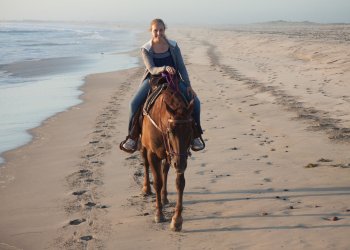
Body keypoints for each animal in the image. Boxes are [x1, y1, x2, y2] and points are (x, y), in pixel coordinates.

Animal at [140, 81, 194, 231]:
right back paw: (146, 188)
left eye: (190, 130)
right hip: (144, 146)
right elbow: (157, 182)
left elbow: (180, 183)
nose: (179, 164)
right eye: (171, 131)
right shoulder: (153, 154)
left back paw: (164, 197)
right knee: (145, 163)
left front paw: (177, 220)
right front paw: (159, 214)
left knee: (165, 169)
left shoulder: (180, 157)